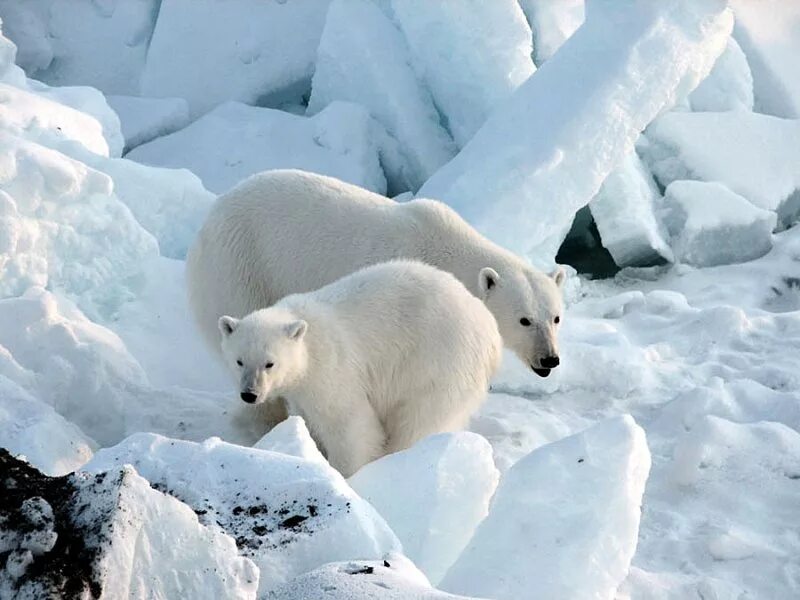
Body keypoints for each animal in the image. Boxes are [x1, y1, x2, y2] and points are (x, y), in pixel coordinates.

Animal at [188, 169, 564, 376]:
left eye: (556, 318)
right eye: (524, 320)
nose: (550, 359)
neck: (448, 249)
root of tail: (209, 218)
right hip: (242, 263)